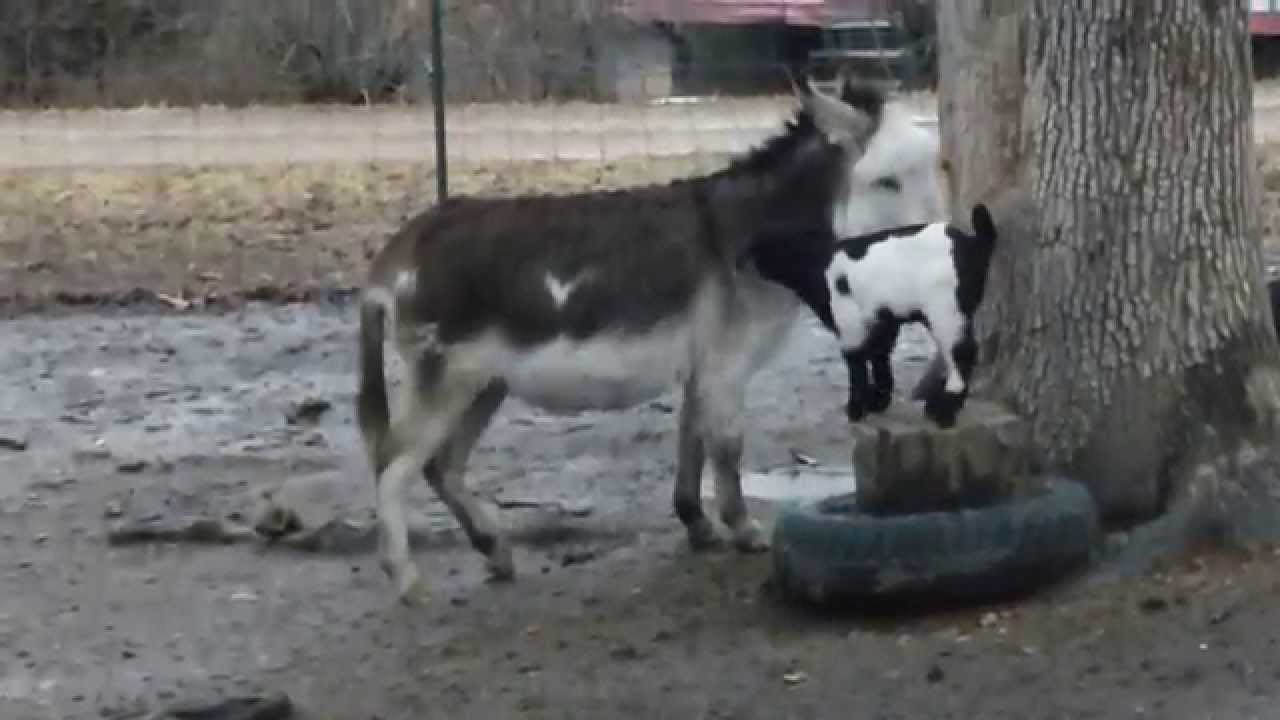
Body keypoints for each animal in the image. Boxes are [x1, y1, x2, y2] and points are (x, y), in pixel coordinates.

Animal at [356, 78, 947, 604]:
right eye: (888, 181)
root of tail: (403, 246)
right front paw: (744, 530)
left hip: (484, 384)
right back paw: (405, 578)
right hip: (447, 380)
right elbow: (727, 447)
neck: (747, 236)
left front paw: (699, 526)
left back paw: (494, 550)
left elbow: (692, 440)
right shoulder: (725, 365)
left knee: (441, 465)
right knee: (392, 461)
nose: (941, 245)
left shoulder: (701, 366)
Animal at [750, 203, 999, 429]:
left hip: (944, 310)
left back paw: (944, 412)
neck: (819, 264)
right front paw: (878, 402)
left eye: (764, 248)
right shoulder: (883, 320)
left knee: (961, 353)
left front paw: (855, 409)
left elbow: (856, 363)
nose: (747, 263)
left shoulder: (849, 322)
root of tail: (973, 243)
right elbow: (879, 357)